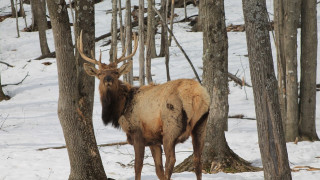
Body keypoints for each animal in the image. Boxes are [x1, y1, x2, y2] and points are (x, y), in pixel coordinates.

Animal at [77, 31, 210, 180]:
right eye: (99, 73)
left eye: (116, 72)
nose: (108, 80)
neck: (122, 107)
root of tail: (196, 96)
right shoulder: (153, 140)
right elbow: (158, 170)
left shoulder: (138, 133)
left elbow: (138, 166)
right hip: (201, 124)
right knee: (197, 160)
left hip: (171, 126)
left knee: (171, 160)